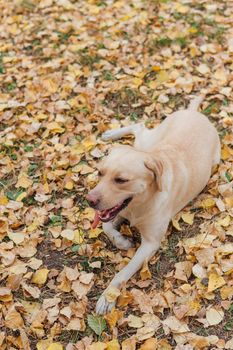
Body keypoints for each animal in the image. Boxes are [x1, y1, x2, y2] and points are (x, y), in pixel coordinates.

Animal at [86, 95, 221, 314]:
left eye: (121, 180)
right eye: (99, 172)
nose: (89, 200)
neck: (139, 204)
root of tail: (194, 112)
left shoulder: (150, 243)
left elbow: (122, 272)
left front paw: (108, 296)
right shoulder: (117, 213)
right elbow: (106, 227)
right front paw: (122, 241)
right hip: (149, 142)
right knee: (140, 126)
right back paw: (112, 133)